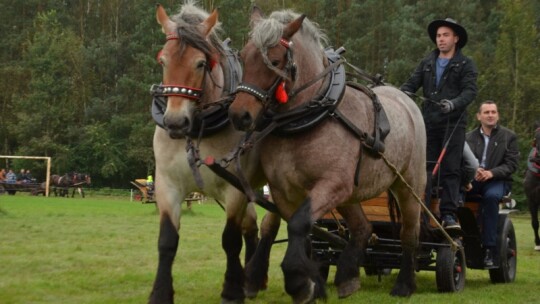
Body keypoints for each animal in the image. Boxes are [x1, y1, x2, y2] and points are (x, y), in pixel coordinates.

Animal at [150, 2, 280, 304]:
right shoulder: (167, 184)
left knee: (271, 224)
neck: (198, 129)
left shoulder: (233, 190)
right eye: (163, 61)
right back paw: (251, 280)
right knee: (252, 227)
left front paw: (231, 290)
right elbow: (167, 241)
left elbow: (230, 240)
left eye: (200, 63)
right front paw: (160, 293)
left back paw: (255, 275)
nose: (175, 122)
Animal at [228, 7, 426, 302]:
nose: (239, 115)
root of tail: (404, 98)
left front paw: (297, 281)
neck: (309, 115)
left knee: (409, 232)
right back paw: (347, 276)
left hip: (408, 184)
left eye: (274, 60)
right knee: (363, 227)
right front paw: (309, 282)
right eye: (243, 56)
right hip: (351, 193)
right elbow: (297, 227)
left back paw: (404, 284)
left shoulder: (332, 183)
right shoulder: (283, 190)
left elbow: (298, 224)